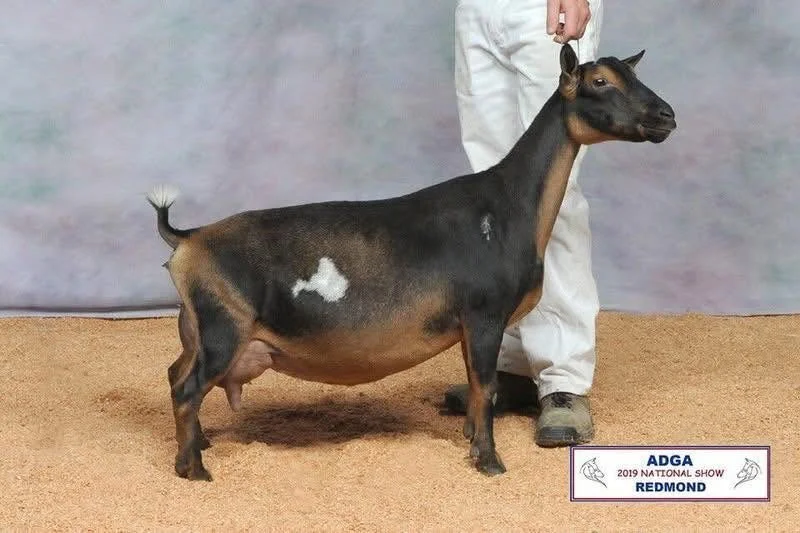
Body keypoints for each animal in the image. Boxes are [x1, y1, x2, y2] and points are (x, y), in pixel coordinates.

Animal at [147, 44, 676, 481]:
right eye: (600, 81)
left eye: (633, 74)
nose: (666, 115)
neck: (506, 207)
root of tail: (189, 238)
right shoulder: (483, 314)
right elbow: (485, 386)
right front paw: (489, 461)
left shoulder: (470, 324)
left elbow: (476, 384)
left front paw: (470, 438)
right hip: (223, 327)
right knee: (187, 389)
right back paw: (193, 469)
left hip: (196, 329)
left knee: (175, 375)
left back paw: (201, 444)